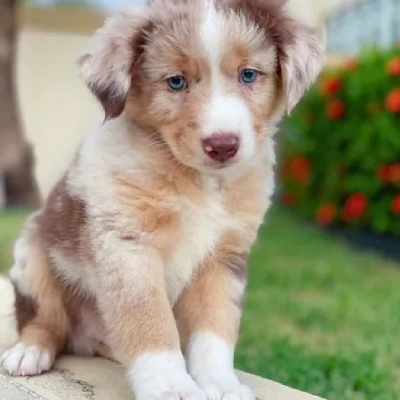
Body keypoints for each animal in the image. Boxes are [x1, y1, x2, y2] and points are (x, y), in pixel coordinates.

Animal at [1, 0, 324, 398]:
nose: (223, 145)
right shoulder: (128, 246)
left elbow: (216, 327)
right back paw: (29, 351)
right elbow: (151, 321)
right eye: (176, 82)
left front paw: (221, 383)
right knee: (44, 319)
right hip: (32, 255)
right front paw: (172, 386)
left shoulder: (223, 257)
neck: (199, 182)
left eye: (249, 75)